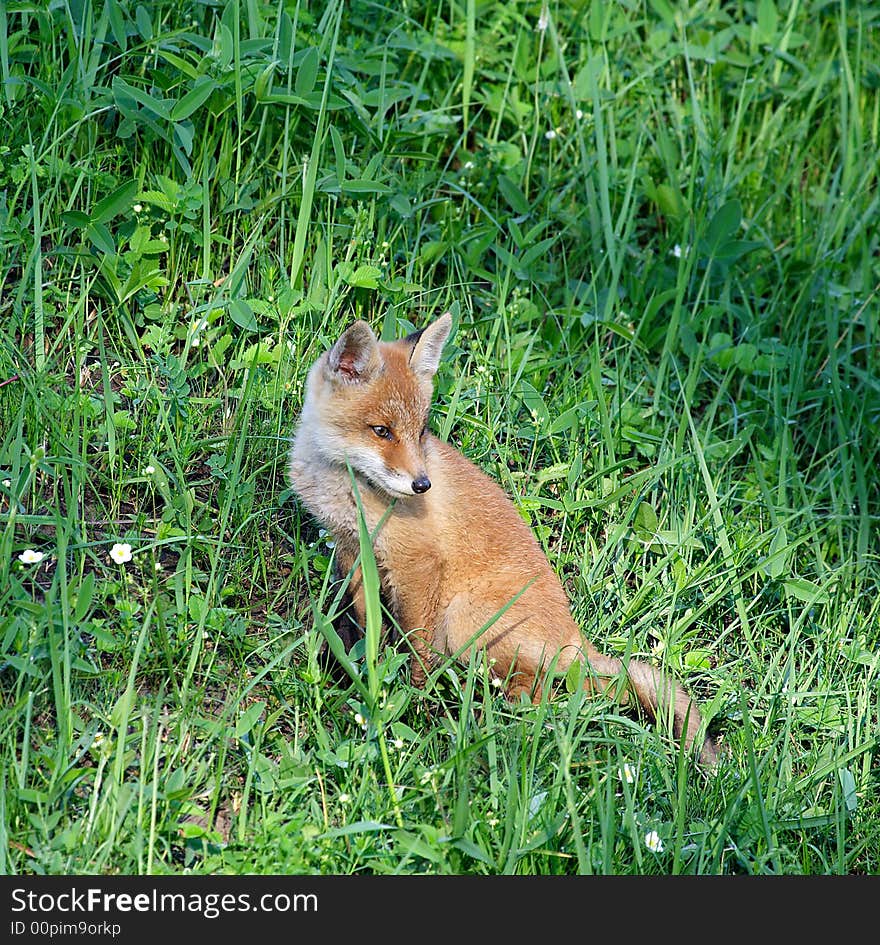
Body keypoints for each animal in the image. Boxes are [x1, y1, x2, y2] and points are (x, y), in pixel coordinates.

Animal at [292, 314, 720, 764]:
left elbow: (416, 645)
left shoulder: (419, 563)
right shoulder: (351, 550)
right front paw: (364, 667)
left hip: (463, 621)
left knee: (560, 690)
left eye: (420, 431)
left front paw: (413, 697)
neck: (349, 492)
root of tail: (575, 637)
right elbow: (365, 625)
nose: (422, 485)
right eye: (382, 431)